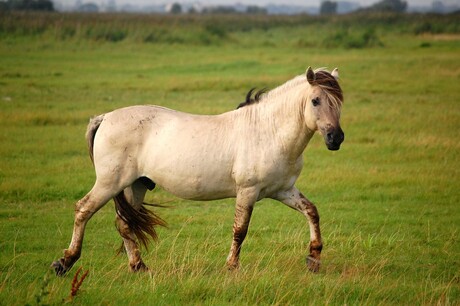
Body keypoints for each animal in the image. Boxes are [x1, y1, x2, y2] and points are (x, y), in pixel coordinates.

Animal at [52, 66, 344, 274]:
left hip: (135, 186)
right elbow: (240, 230)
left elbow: (311, 212)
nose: (336, 138)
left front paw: (314, 259)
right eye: (316, 101)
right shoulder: (248, 192)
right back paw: (64, 263)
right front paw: (231, 267)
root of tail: (104, 118)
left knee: (125, 224)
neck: (267, 131)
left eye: (339, 103)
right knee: (83, 210)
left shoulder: (283, 190)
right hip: (110, 183)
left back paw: (139, 267)